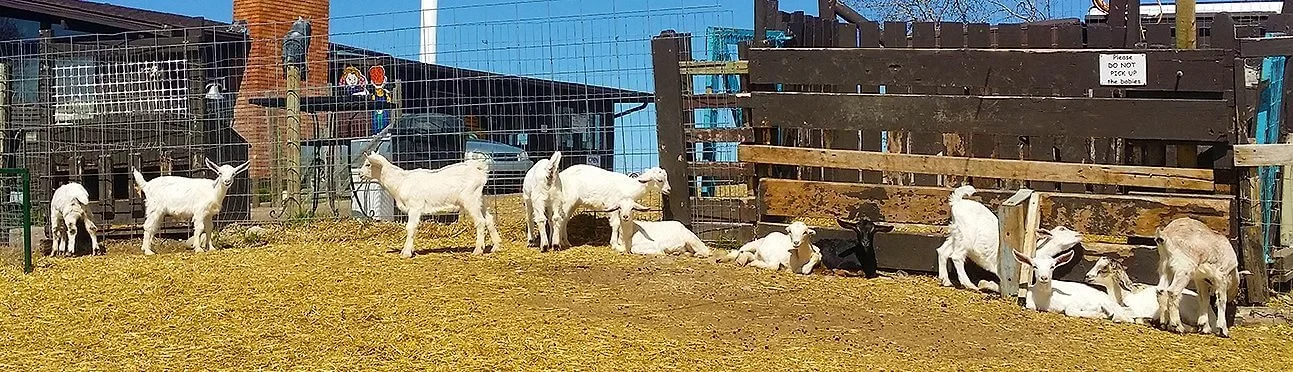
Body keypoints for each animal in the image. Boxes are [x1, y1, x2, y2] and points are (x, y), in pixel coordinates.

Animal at [364, 152, 504, 257]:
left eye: (367, 164)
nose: (360, 174)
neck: (401, 181)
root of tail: (479, 170)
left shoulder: (415, 207)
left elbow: (410, 227)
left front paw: (406, 253)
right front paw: (409, 249)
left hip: (471, 200)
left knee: (480, 221)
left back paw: (478, 250)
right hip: (481, 199)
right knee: (489, 219)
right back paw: (496, 246)